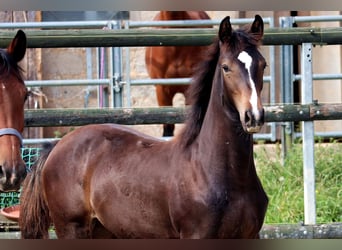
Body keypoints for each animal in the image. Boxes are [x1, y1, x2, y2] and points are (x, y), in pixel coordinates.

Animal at [20, 15, 268, 238]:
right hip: (71, 228)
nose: (253, 116)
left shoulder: (251, 235)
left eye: (263, 65)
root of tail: (56, 146)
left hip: (103, 231)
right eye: (226, 67)